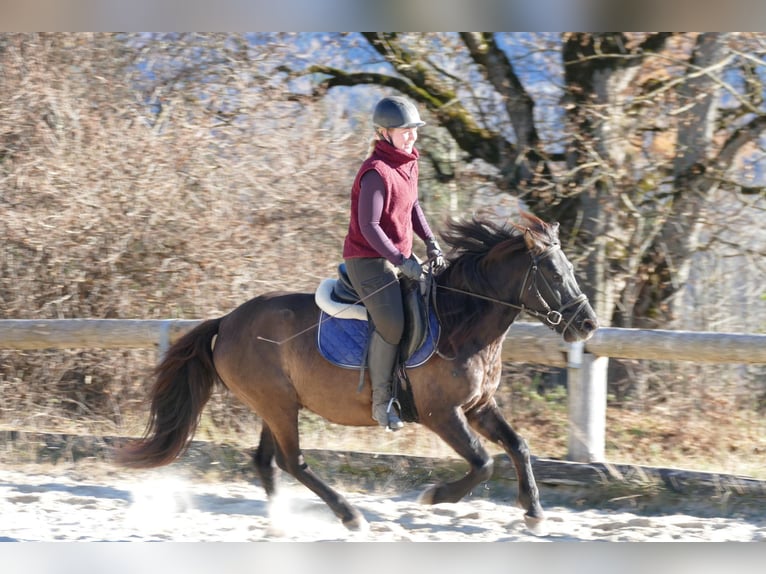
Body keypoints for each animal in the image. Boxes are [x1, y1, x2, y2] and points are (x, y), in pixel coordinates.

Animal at [118, 214, 600, 532]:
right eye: (553, 273)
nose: (588, 324)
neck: (461, 321)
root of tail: (227, 320)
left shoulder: (478, 406)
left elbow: (518, 446)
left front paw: (534, 512)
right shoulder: (441, 414)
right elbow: (483, 463)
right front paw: (433, 496)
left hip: (276, 404)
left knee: (267, 461)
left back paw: (282, 521)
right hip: (277, 405)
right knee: (292, 461)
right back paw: (349, 515)